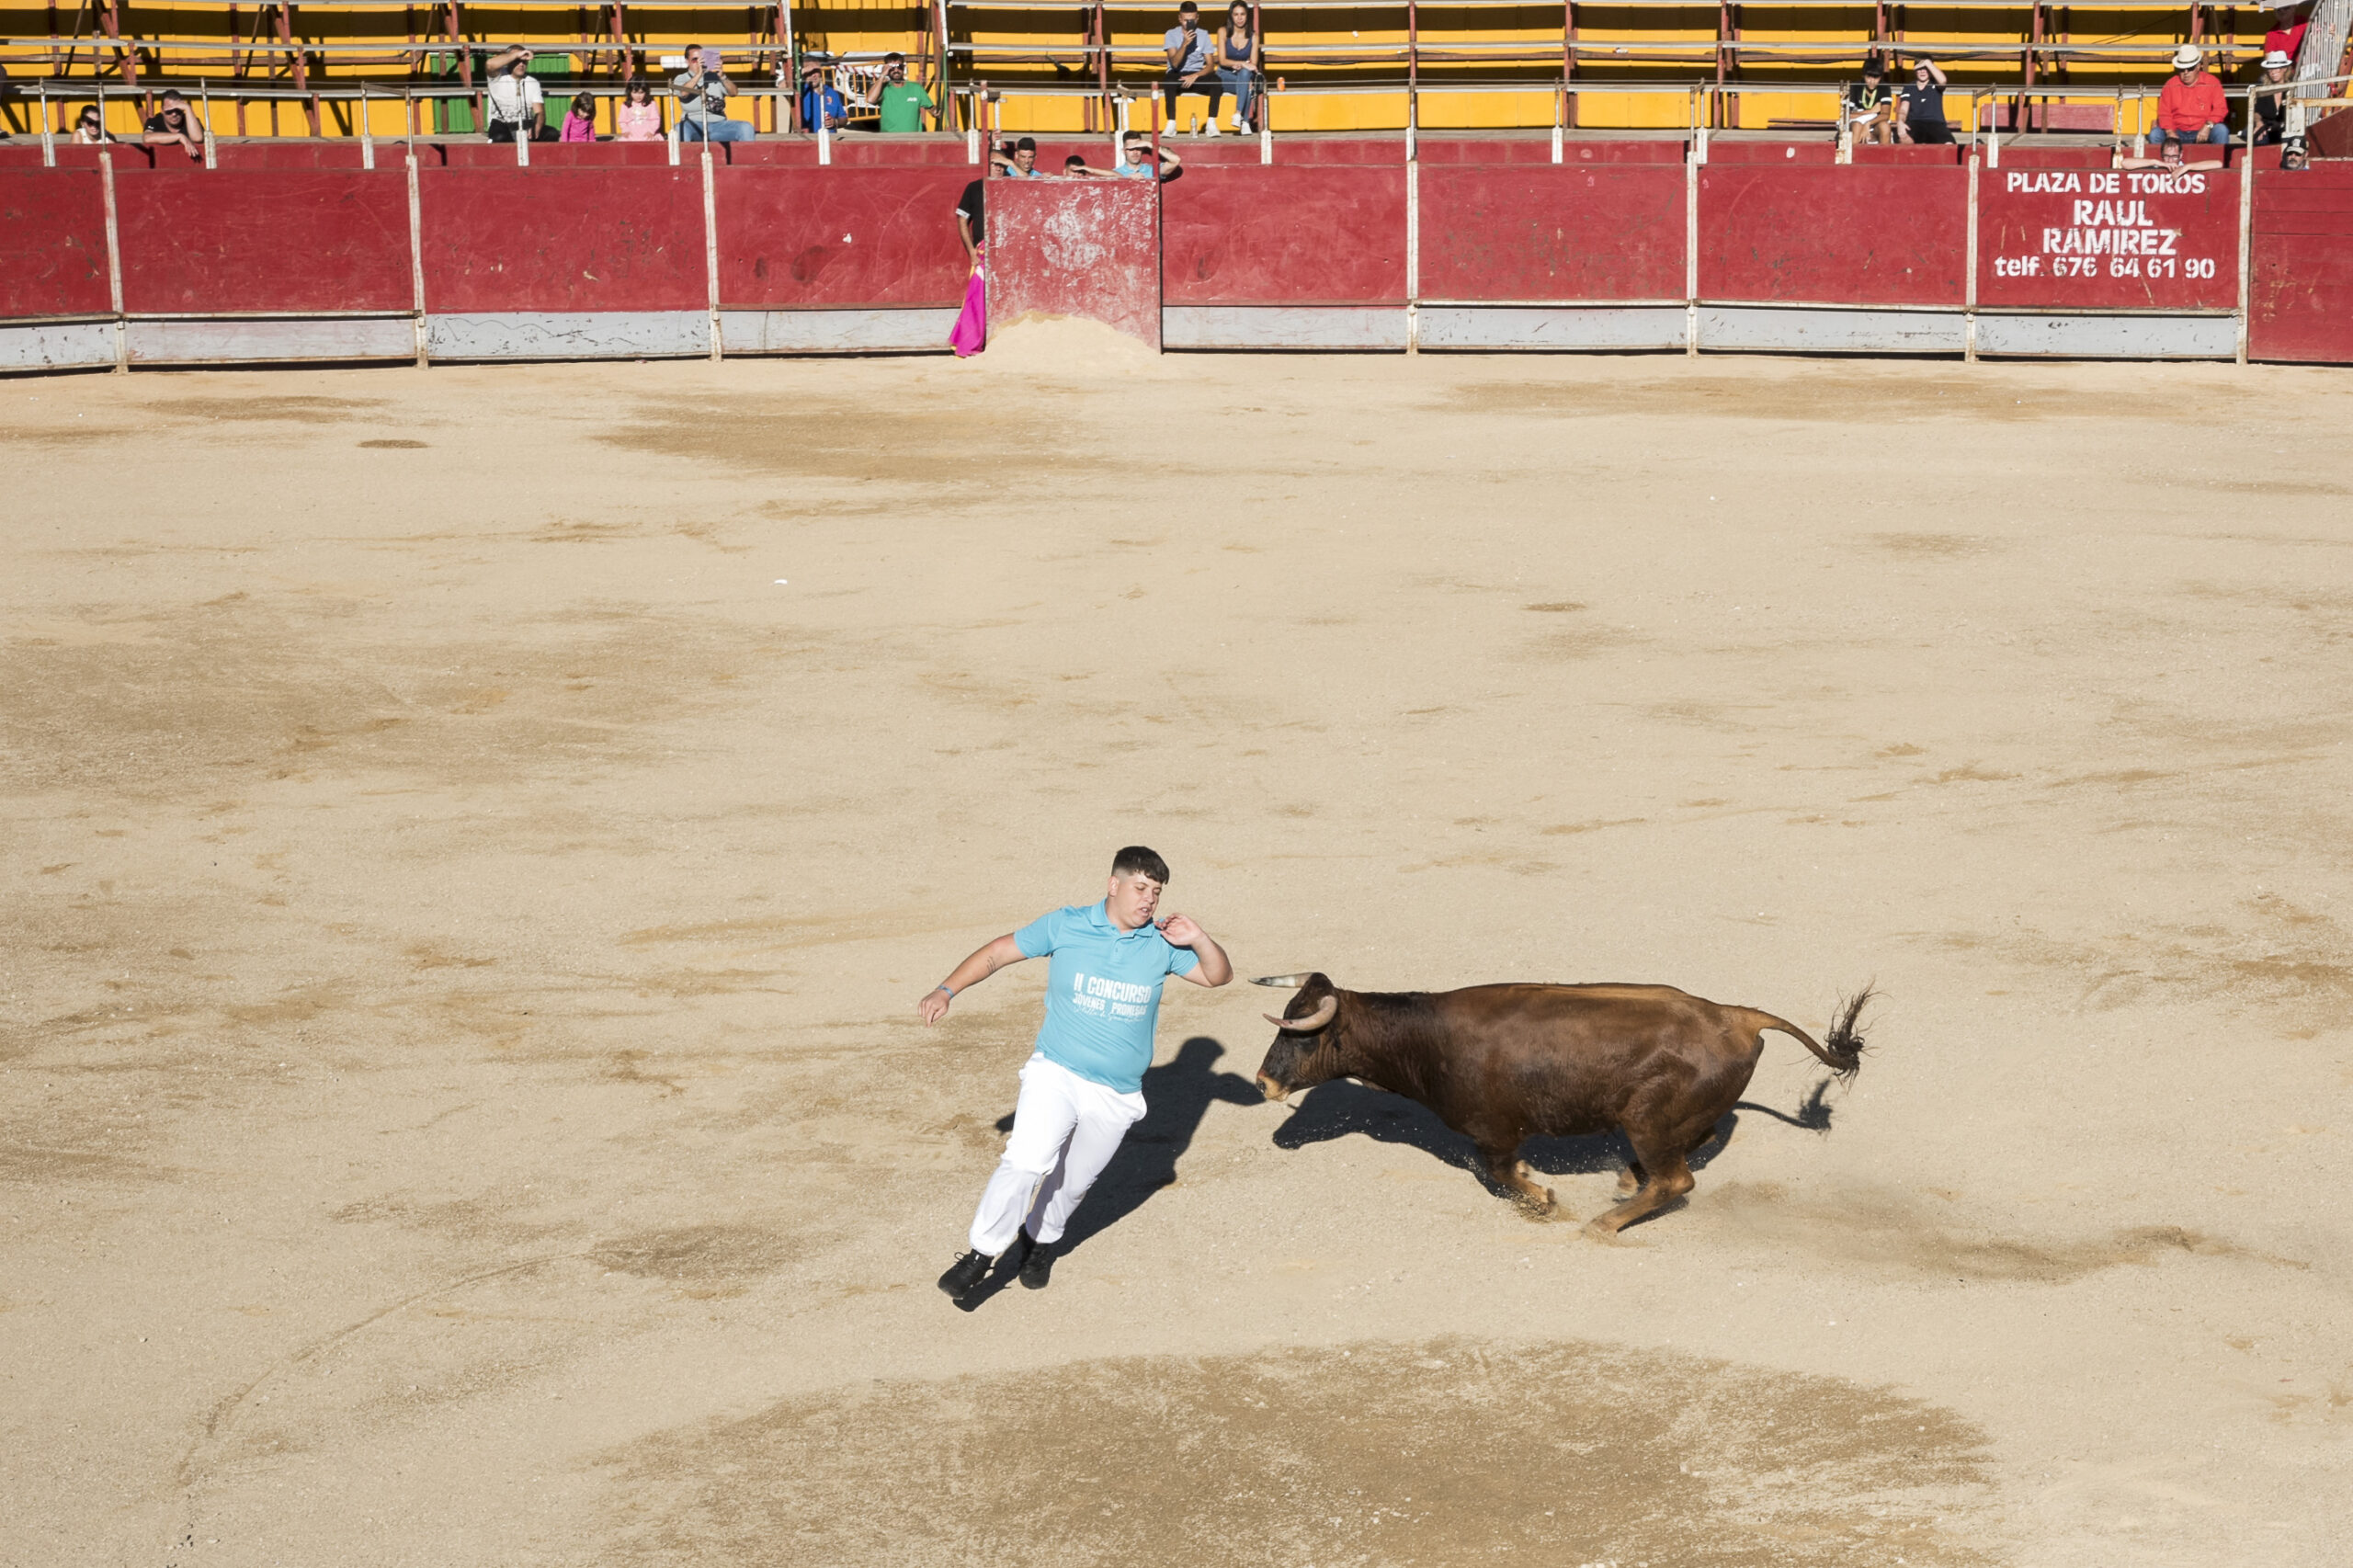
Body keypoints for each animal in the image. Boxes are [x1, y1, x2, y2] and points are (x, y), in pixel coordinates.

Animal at [1251, 965, 1872, 1233]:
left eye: (1300, 1035)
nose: (1263, 1084)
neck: (1424, 1037)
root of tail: (1736, 1016)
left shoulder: (1496, 1131)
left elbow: (1502, 1172)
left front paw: (1544, 1200)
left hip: (1644, 1118)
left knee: (1677, 1179)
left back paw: (1604, 1221)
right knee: (1702, 1138)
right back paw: (1627, 1178)